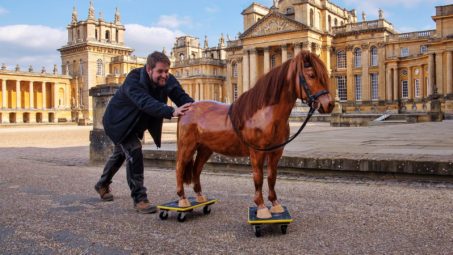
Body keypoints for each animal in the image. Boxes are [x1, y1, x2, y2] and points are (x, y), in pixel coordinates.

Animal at [175, 50, 334, 219]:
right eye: (311, 75)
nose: (329, 104)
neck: (266, 114)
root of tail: (187, 107)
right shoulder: (257, 152)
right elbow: (258, 178)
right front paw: (261, 207)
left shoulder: (276, 151)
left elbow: (271, 177)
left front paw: (275, 204)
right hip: (187, 146)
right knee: (180, 167)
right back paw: (183, 199)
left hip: (205, 148)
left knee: (196, 169)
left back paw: (200, 197)